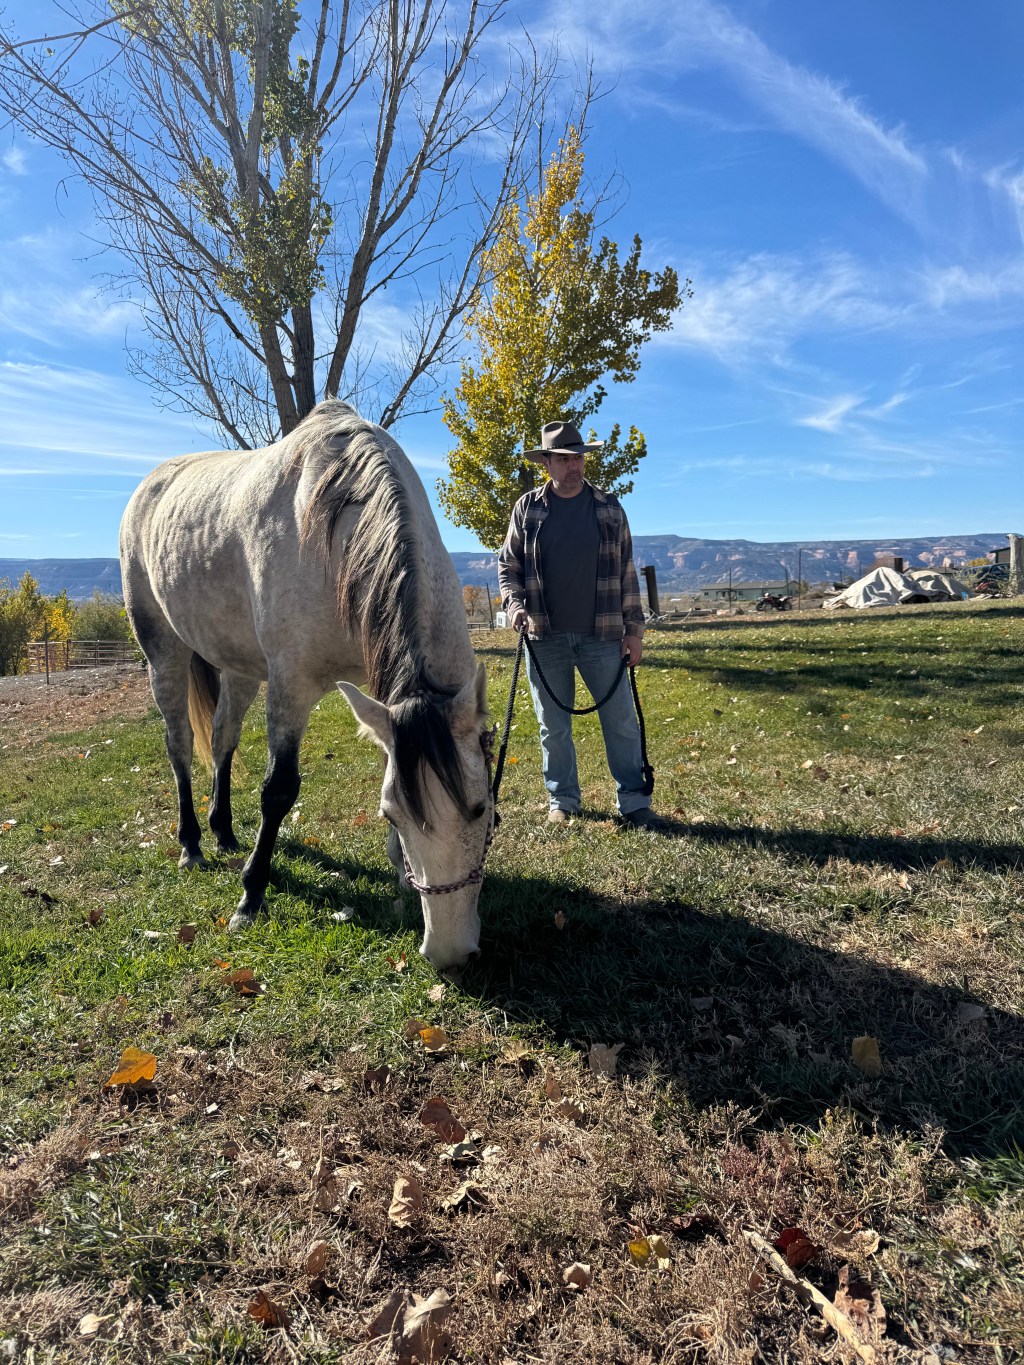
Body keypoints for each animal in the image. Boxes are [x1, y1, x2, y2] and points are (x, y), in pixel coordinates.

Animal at [119, 399, 493, 970]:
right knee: (179, 744)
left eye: (481, 810)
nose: (449, 953)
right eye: (394, 814)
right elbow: (278, 790)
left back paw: (224, 831)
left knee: (224, 738)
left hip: (240, 668)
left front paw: (400, 872)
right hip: (164, 652)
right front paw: (250, 896)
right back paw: (192, 844)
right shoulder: (290, 686)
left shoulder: (379, 702)